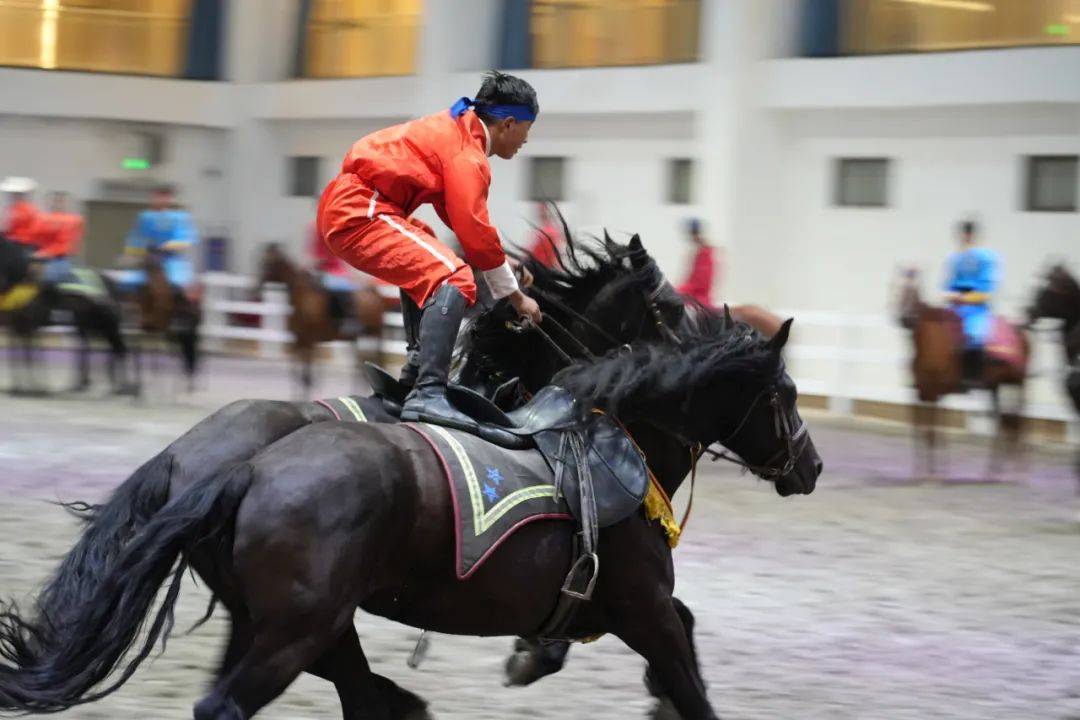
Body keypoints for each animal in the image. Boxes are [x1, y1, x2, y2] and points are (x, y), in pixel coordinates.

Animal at [0, 236, 133, 395]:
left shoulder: (28, 326)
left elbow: (30, 355)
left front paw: (35, 387)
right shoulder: (18, 326)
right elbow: (24, 354)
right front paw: (22, 387)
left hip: (105, 327)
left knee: (117, 349)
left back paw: (119, 387)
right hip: (89, 325)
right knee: (96, 348)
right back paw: (86, 385)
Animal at [0, 306, 816, 716]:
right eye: (785, 395)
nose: (810, 466)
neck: (619, 434)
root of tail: (235, 466)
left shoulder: (630, 610)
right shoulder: (640, 606)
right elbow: (688, 673)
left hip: (286, 620)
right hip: (302, 626)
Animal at [257, 245, 384, 397]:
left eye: (269, 264)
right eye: (261, 261)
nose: (257, 286)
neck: (303, 298)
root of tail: (373, 292)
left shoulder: (309, 342)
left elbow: (307, 377)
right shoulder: (299, 341)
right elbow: (298, 375)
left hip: (375, 333)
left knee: (375, 360)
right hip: (356, 337)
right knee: (358, 365)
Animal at [894, 268, 1028, 479]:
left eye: (914, 290)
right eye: (895, 288)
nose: (904, 318)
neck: (928, 343)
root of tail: (1022, 332)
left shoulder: (933, 394)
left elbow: (931, 432)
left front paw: (932, 475)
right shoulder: (920, 393)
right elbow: (920, 430)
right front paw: (922, 471)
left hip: (1017, 384)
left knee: (1018, 423)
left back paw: (1017, 474)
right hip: (995, 387)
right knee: (1003, 423)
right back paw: (992, 472)